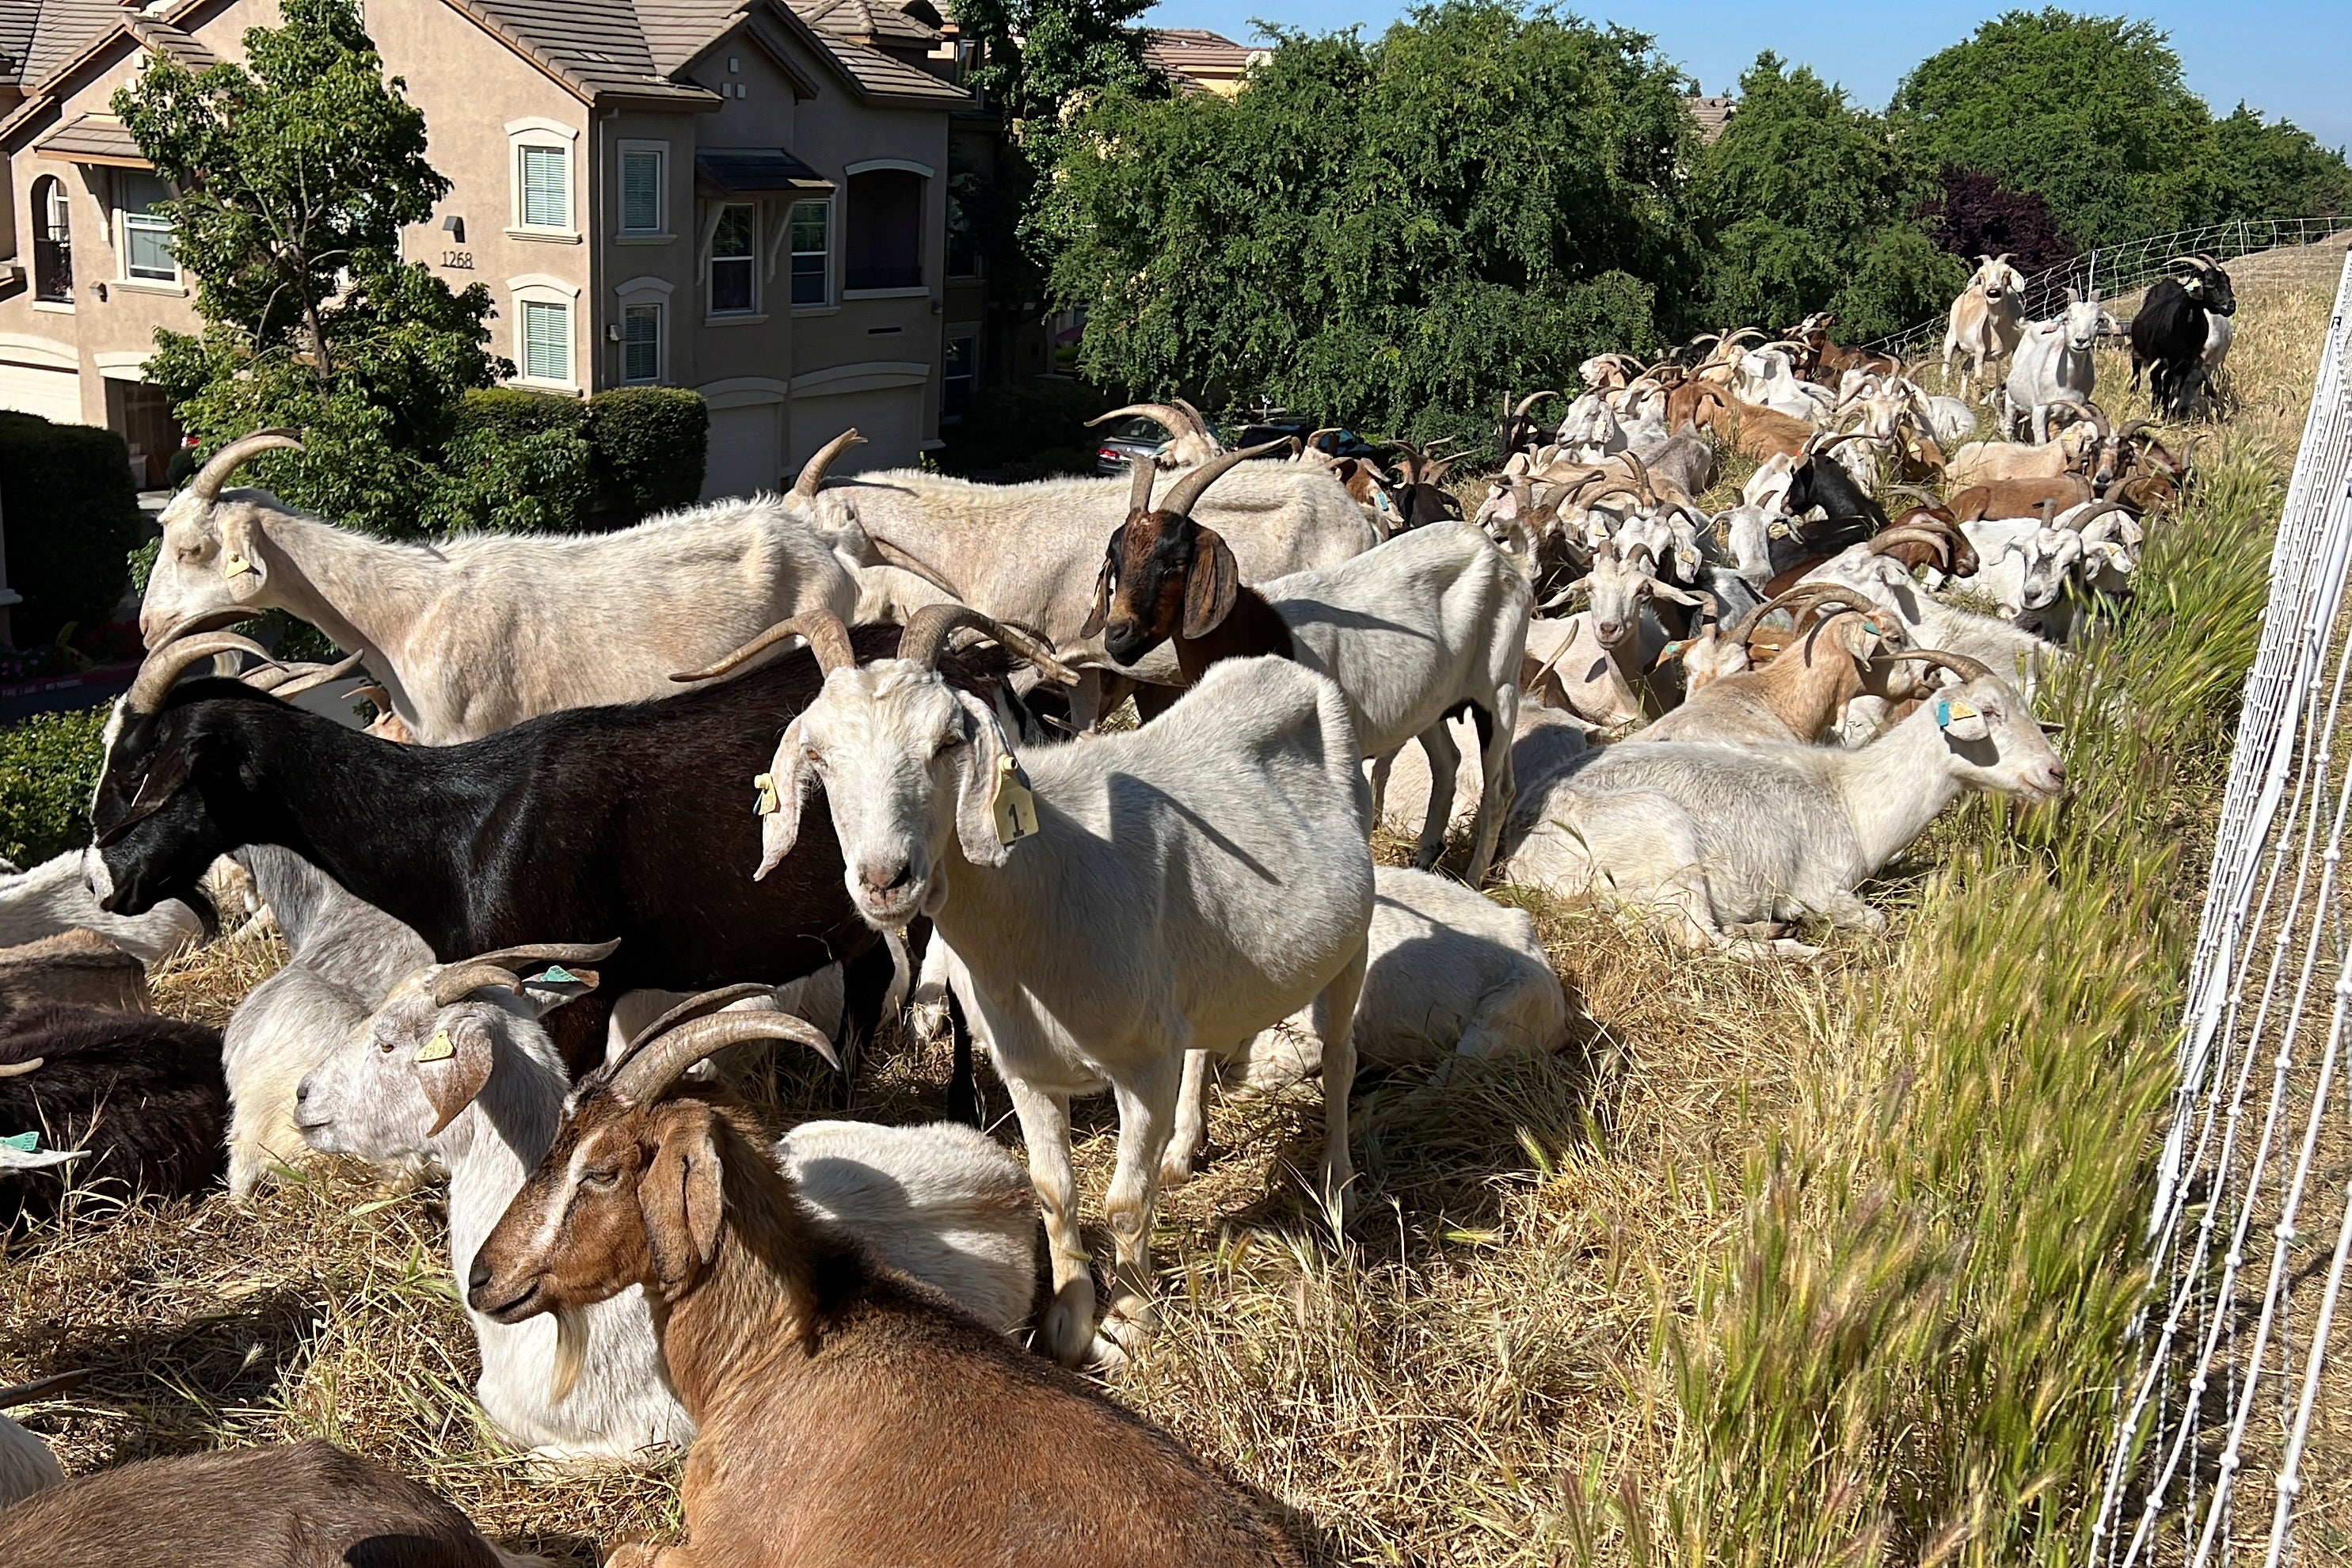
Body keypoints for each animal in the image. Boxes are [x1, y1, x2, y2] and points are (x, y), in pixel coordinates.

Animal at [727, 607, 1374, 1365]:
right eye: (820, 757)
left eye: (948, 742)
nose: (886, 880)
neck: (1040, 895)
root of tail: (1286, 671)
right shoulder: (1027, 1069)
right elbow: (1053, 1190)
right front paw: (1068, 1320)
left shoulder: (1140, 1066)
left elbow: (1125, 1200)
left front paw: (1132, 1320)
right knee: (1203, 1041)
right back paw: (1184, 1151)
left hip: (1353, 939)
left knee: (1340, 1056)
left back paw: (1337, 1188)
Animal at [1086, 453, 1530, 882]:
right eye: (1116, 560)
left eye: (1174, 562)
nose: (1118, 636)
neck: (1257, 629)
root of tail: (1506, 559)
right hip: (1431, 702)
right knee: (1447, 763)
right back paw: (1424, 859)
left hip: (1500, 691)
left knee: (1499, 790)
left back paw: (1473, 879)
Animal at [1503, 650, 2064, 957]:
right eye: (1988, 712)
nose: (2055, 774)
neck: (1849, 797)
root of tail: (1522, 858)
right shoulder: (1822, 888)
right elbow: (1876, 922)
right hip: (1664, 837)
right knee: (1703, 939)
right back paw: (1796, 947)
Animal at [1943, 254, 2028, 388]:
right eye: (1981, 274)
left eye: (2006, 273)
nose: (1993, 285)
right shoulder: (1980, 350)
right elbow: (1978, 380)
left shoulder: (2017, 344)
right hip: (1951, 339)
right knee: (1946, 371)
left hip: (1970, 353)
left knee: (1965, 368)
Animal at [2129, 254, 2237, 418]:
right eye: (2209, 284)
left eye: (2227, 282)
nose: (2230, 306)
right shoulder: (2158, 360)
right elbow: (2157, 389)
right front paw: (2153, 415)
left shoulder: (2185, 363)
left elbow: (2174, 392)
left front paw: (2169, 415)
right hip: (2139, 352)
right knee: (2137, 374)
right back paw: (2134, 396)